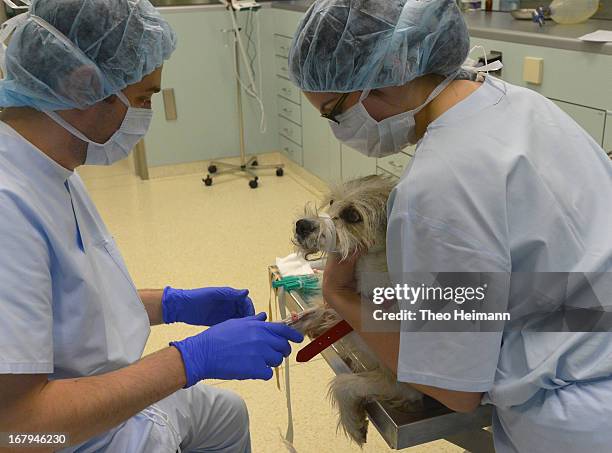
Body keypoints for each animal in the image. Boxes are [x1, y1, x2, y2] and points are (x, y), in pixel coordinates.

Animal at [290, 175, 424, 444]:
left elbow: (343, 381)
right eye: (332, 202)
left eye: (352, 216)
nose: (302, 225)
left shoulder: (403, 385)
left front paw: (353, 423)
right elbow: (314, 314)